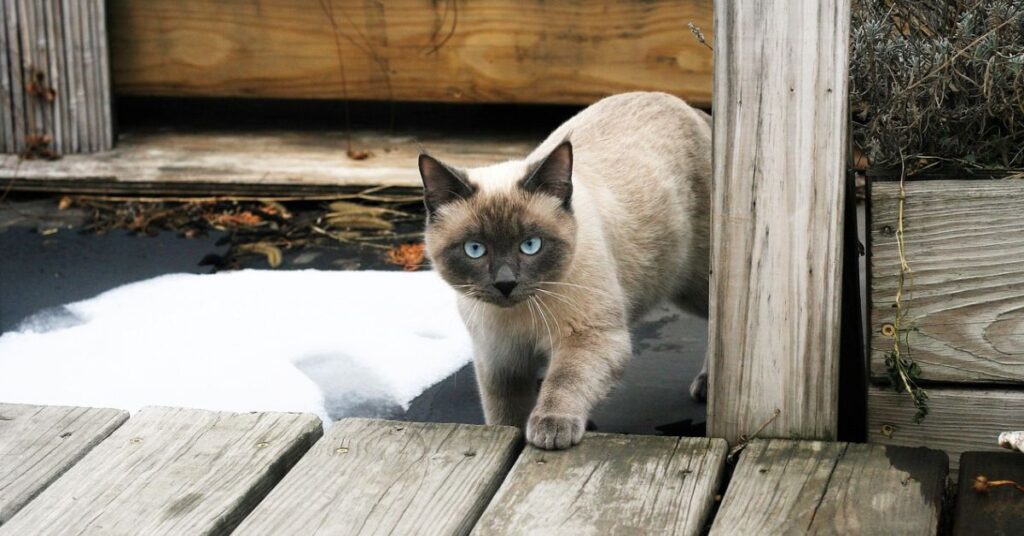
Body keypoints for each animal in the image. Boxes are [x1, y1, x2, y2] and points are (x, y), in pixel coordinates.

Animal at [419, 92, 708, 448]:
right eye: (475, 249)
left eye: (531, 245)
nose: (505, 283)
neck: (519, 319)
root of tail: (685, 104)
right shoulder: (500, 361)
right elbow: (505, 417)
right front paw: (511, 433)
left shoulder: (590, 336)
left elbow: (563, 382)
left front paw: (550, 429)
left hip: (696, 287)